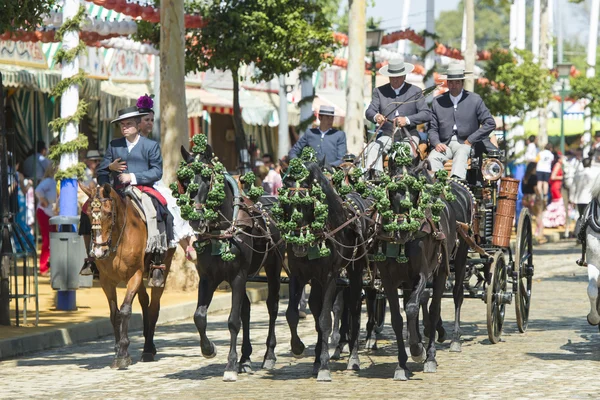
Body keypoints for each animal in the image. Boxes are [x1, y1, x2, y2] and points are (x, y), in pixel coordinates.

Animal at [79, 183, 175, 370]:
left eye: (109, 213)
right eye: (88, 214)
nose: (98, 252)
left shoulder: (134, 275)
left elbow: (124, 311)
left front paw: (123, 354)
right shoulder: (106, 281)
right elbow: (114, 313)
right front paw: (117, 349)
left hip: (162, 270)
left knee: (153, 306)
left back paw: (147, 349)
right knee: (145, 302)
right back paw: (149, 345)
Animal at [178, 145, 284, 382]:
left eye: (207, 178)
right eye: (183, 180)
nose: (195, 219)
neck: (223, 230)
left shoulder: (237, 276)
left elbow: (233, 321)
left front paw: (230, 365)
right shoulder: (208, 278)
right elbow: (199, 317)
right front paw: (209, 349)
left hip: (273, 267)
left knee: (272, 306)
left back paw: (269, 355)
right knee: (246, 309)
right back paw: (246, 358)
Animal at [280, 161, 372, 382]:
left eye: (308, 203)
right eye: (286, 202)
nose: (299, 245)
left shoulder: (330, 276)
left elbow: (325, 320)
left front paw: (324, 366)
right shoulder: (297, 275)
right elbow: (292, 314)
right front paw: (298, 347)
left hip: (355, 270)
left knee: (354, 307)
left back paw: (353, 358)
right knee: (315, 304)